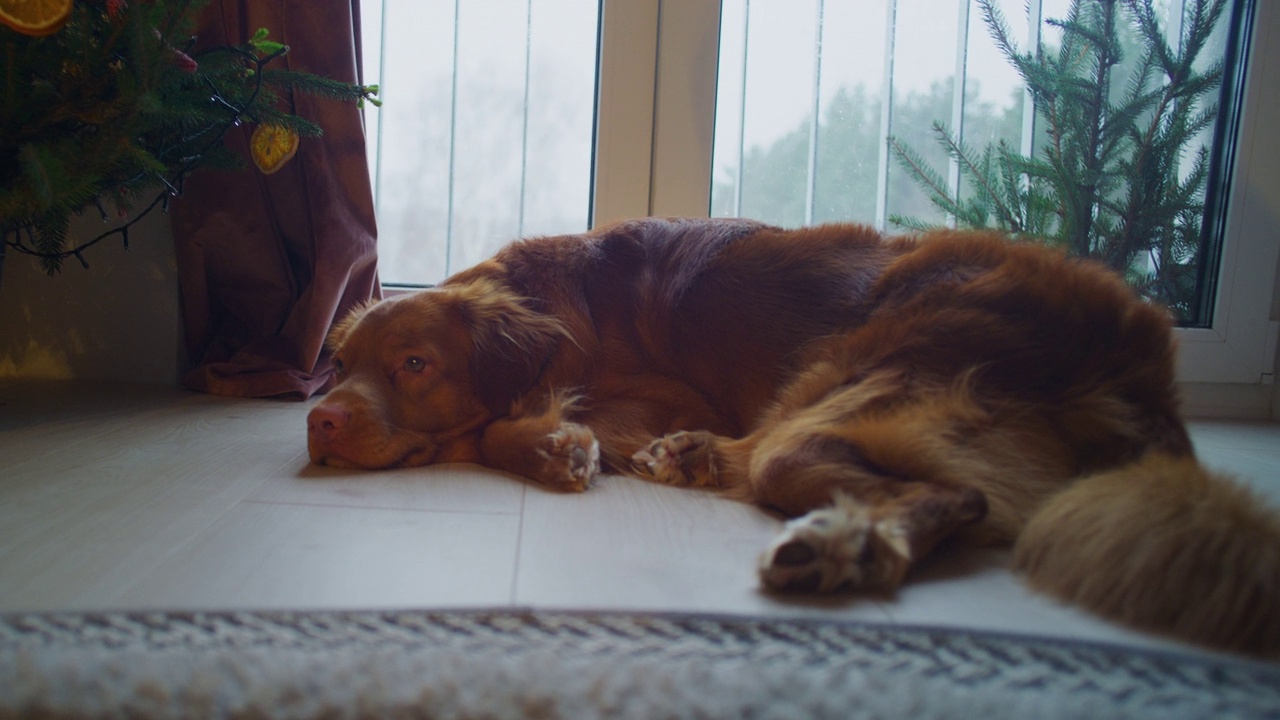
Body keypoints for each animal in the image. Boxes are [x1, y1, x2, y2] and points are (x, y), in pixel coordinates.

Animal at [307, 213, 1280, 655]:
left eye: (415, 365)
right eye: (339, 363)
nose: (319, 420)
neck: (548, 304)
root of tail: (1134, 355)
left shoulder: (657, 389)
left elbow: (504, 429)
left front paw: (558, 445)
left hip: (843, 376)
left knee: (944, 491)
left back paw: (841, 543)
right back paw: (707, 466)